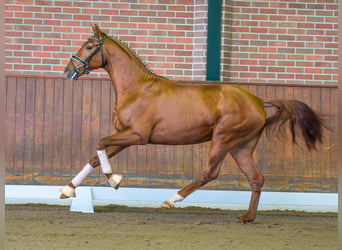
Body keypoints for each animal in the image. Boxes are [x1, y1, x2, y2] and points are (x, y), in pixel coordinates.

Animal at [61, 24, 326, 224]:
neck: (138, 89)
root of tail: (259, 101)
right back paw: (247, 218)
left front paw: (113, 179)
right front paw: (68, 190)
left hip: (223, 139)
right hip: (241, 147)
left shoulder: (138, 136)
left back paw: (172, 199)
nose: (68, 71)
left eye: (89, 46)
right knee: (256, 178)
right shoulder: (125, 136)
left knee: (210, 172)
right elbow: (96, 155)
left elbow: (99, 143)